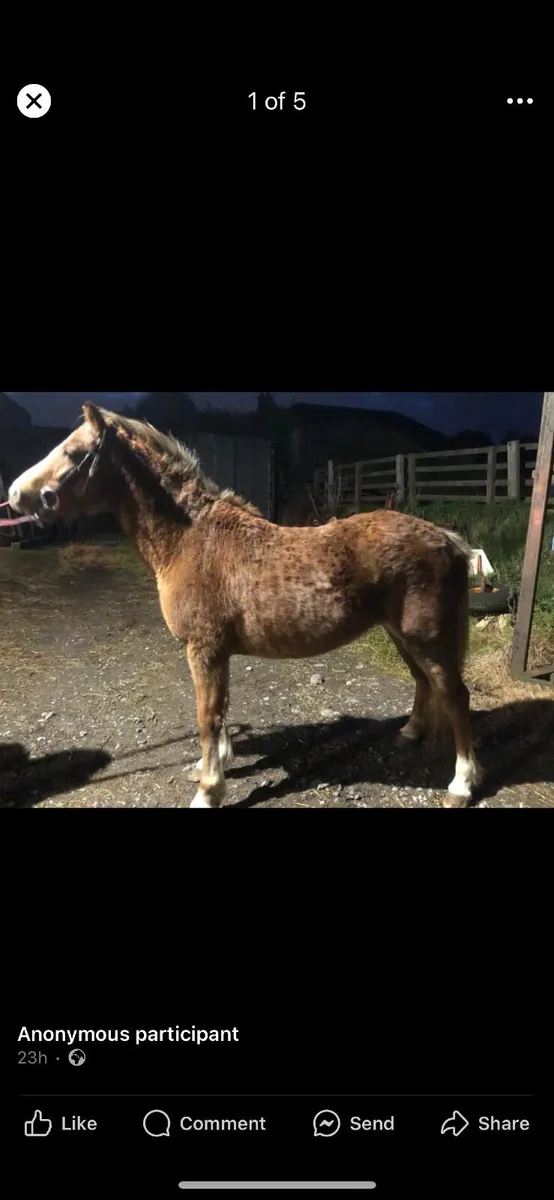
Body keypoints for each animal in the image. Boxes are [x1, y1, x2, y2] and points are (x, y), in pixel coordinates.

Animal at [8, 403, 484, 808]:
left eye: (73, 453)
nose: (14, 494)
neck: (191, 540)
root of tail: (449, 540)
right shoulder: (218, 653)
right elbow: (221, 711)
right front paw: (215, 764)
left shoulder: (203, 650)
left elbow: (207, 716)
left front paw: (207, 791)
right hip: (400, 634)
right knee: (423, 683)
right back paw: (410, 733)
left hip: (428, 639)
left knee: (455, 696)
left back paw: (461, 786)